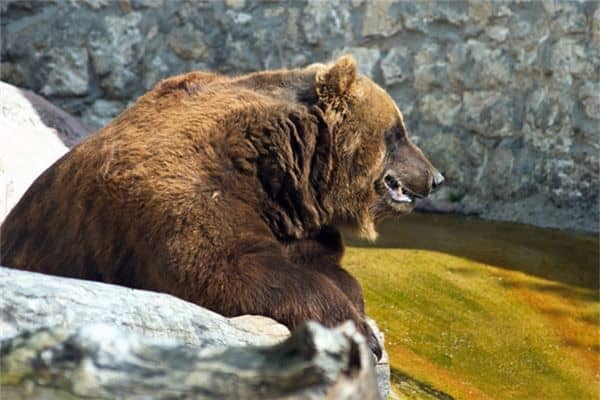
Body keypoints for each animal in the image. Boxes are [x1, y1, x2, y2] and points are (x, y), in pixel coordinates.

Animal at [1, 55, 440, 356]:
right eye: (398, 133)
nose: (436, 176)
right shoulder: (194, 187)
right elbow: (227, 266)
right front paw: (363, 335)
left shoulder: (294, 219)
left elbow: (330, 267)